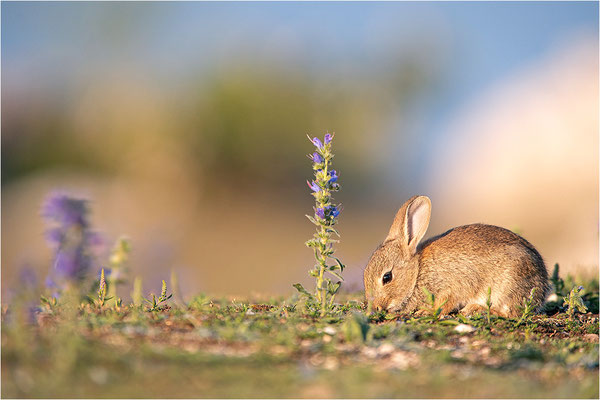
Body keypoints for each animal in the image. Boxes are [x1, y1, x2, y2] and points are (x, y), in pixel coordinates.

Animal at [364, 195, 552, 318]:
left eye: (387, 277)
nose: (376, 307)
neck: (417, 272)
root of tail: (542, 286)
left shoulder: (451, 286)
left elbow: (446, 302)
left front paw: (427, 311)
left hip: (508, 284)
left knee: (509, 312)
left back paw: (476, 309)